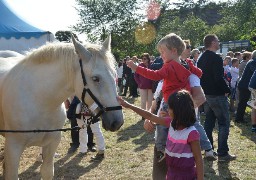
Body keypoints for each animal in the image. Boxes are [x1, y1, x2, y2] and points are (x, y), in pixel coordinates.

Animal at [0, 35, 124, 179]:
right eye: (95, 78)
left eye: (115, 75)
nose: (117, 122)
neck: (39, 100)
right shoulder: (13, 148)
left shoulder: (52, 143)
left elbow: (47, 172)